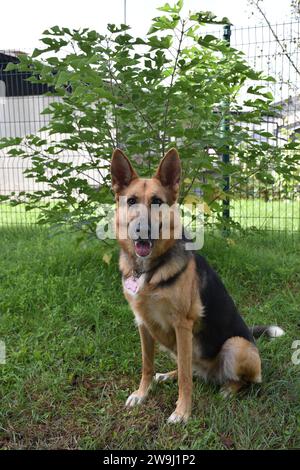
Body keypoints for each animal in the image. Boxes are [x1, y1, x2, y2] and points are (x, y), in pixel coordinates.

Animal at [111, 148, 284, 426]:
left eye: (157, 201)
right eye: (131, 201)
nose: (141, 231)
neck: (149, 270)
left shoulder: (182, 324)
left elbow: (184, 379)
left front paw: (182, 412)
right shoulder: (143, 323)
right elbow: (147, 365)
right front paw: (142, 394)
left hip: (236, 345)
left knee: (243, 381)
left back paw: (228, 388)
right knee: (189, 368)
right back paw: (167, 375)